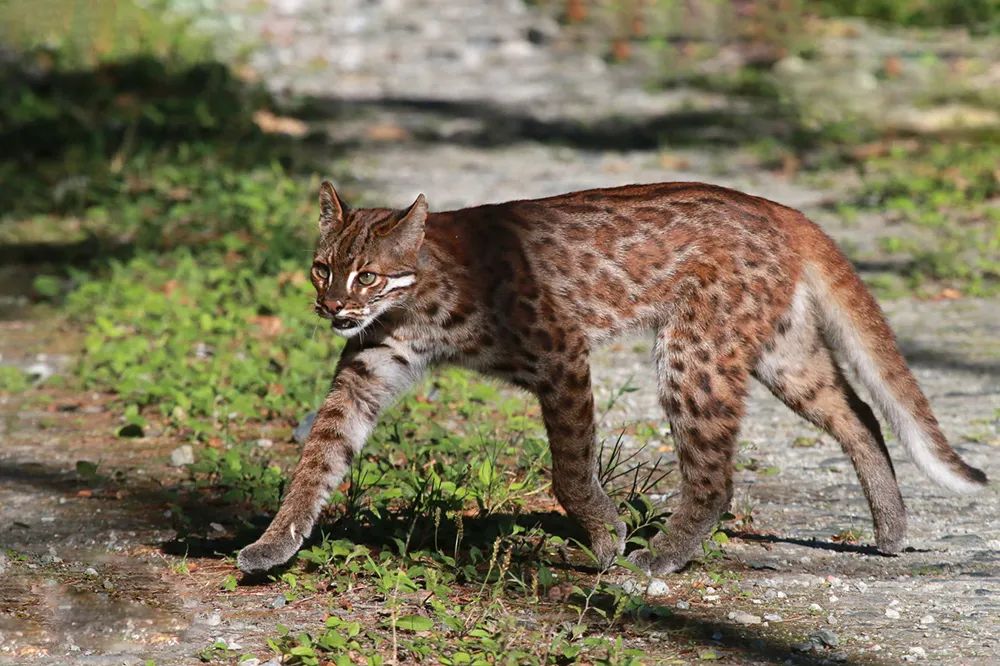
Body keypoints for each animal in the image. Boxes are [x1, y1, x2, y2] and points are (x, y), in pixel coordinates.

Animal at [238, 180, 988, 572]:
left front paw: (605, 540)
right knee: (859, 412)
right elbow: (318, 456)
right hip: (782, 353)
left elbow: (571, 470)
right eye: (321, 268)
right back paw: (890, 530)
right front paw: (273, 543)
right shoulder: (366, 371)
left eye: (366, 275)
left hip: (696, 353)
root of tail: (776, 206)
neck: (414, 300)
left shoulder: (562, 355)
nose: (331, 309)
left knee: (716, 478)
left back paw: (659, 559)